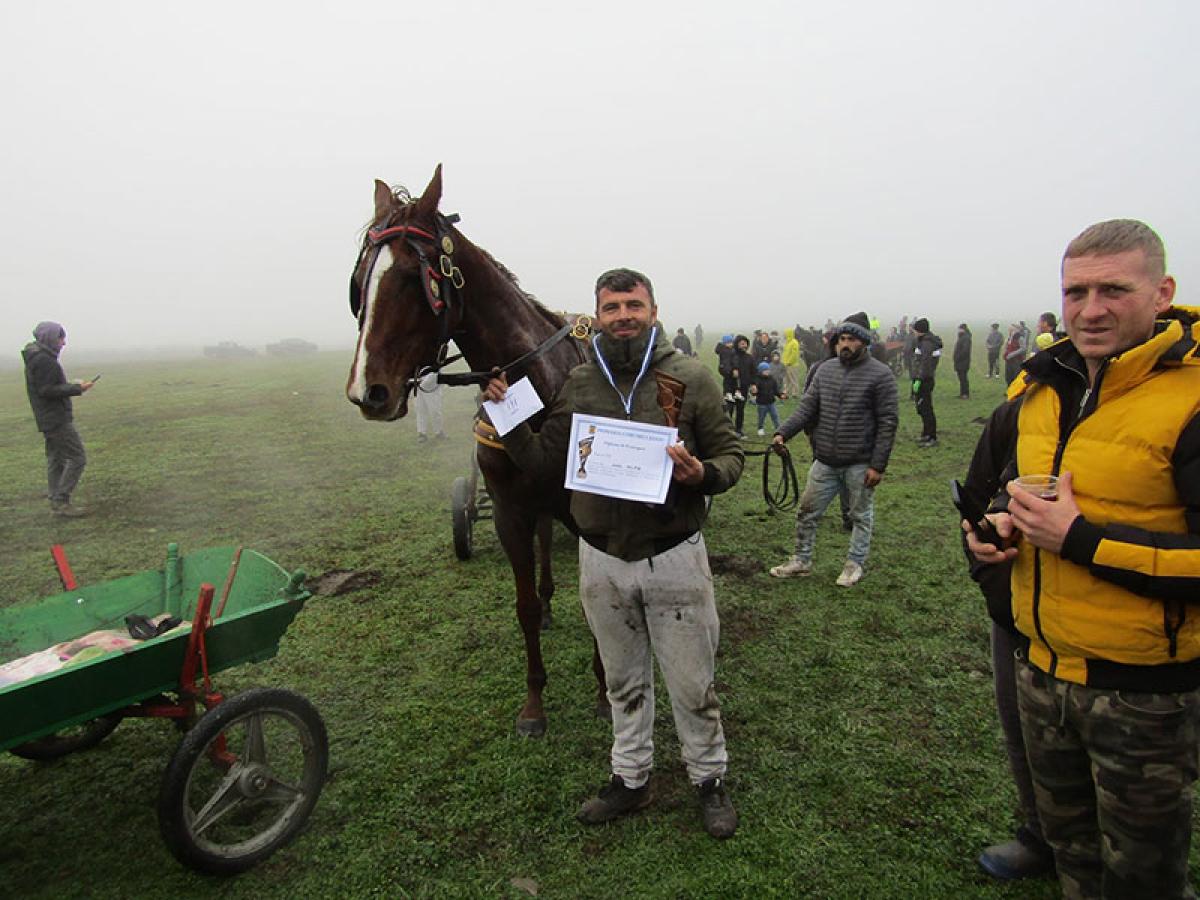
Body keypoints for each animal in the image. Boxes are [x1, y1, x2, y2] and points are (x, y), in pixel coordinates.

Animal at [345, 165, 606, 737]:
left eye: (409, 278)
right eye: (360, 284)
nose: (366, 391)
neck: (535, 385)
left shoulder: (585, 513)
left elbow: (599, 599)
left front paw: (606, 689)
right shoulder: (509, 509)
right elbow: (523, 604)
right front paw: (534, 704)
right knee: (542, 539)